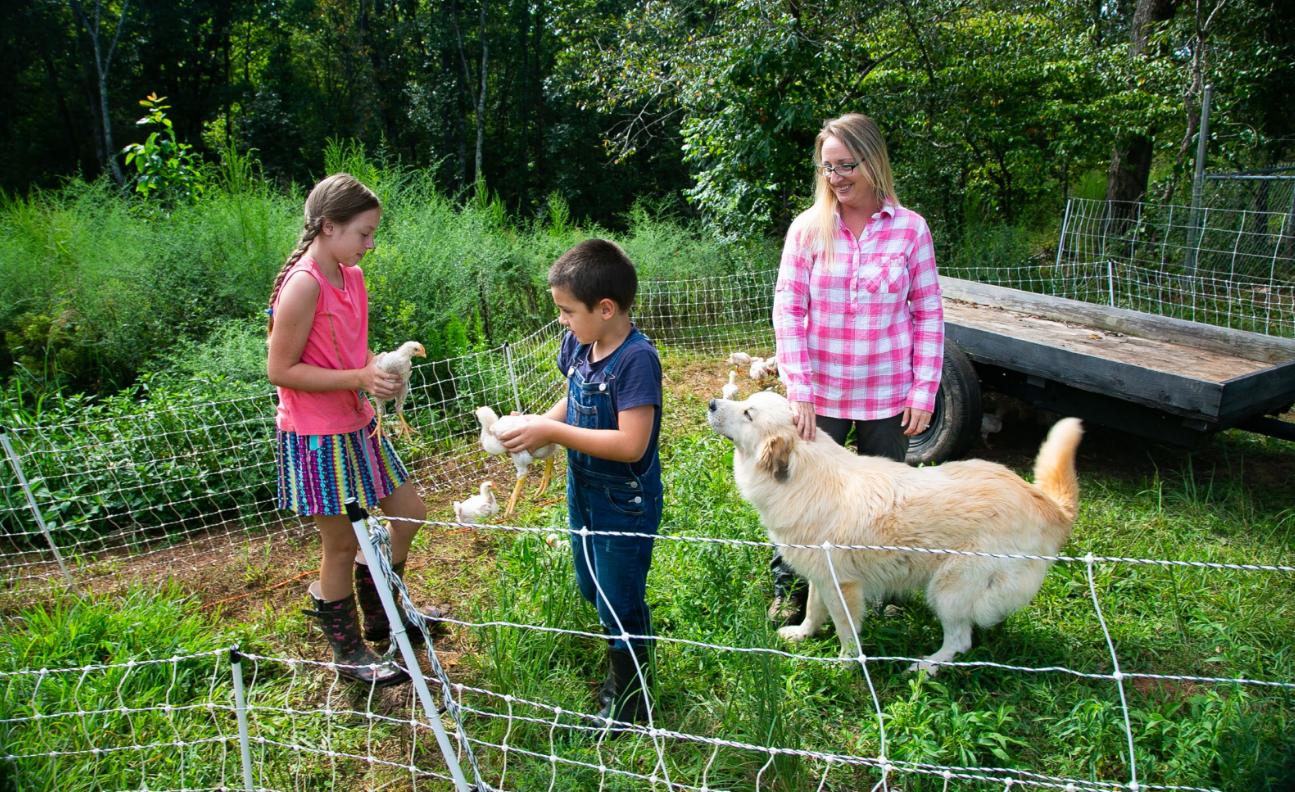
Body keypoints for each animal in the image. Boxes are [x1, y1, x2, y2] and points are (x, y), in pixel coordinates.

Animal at [709, 390, 1082, 672]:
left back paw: (927, 666)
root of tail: (1048, 505)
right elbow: (814, 611)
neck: (806, 477)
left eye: (748, 413)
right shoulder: (822, 577)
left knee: (961, 640)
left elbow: (846, 630)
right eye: (745, 403)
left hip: (947, 589)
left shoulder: (843, 586)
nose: (712, 403)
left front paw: (845, 664)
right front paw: (802, 635)